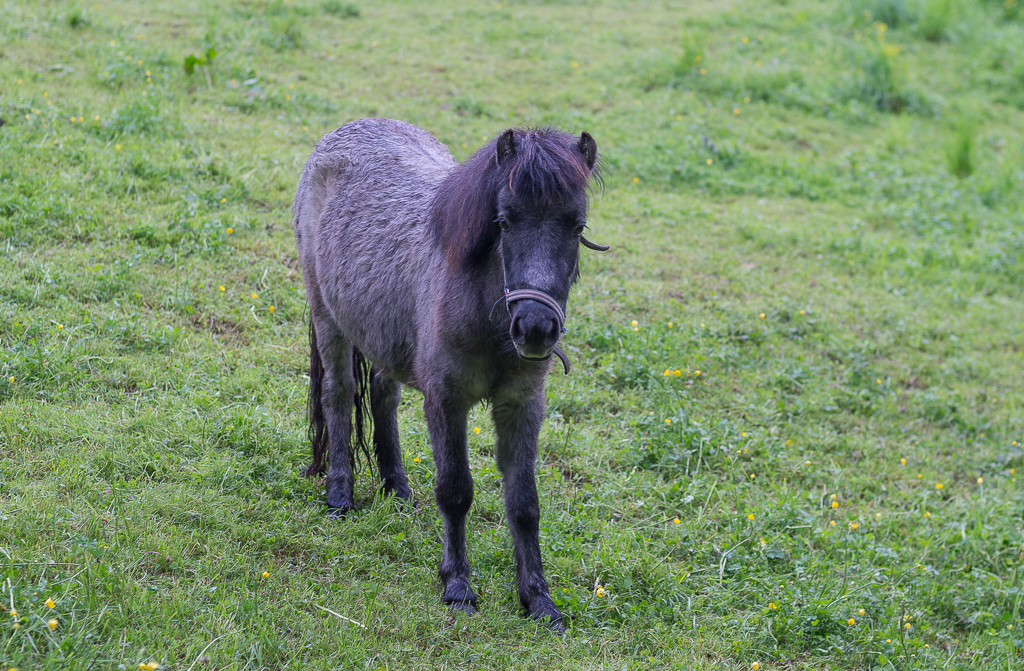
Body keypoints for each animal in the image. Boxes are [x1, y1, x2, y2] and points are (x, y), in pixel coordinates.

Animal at [292, 118, 605, 630]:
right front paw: (458, 586)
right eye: (504, 221)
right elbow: (456, 491)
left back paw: (397, 489)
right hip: (327, 315)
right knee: (338, 395)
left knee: (383, 395)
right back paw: (339, 495)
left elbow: (524, 503)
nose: (536, 329)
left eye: (576, 226)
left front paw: (538, 600)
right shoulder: (446, 399)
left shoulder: (522, 405)